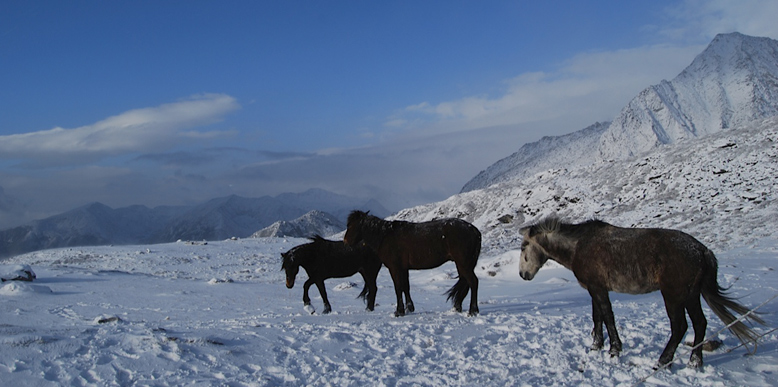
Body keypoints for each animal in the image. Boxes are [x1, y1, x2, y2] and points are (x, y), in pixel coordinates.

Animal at [344, 212, 482, 318]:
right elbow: (406, 287)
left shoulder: (395, 268)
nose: (345, 242)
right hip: (463, 265)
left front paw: (399, 311)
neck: (385, 236)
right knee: (465, 282)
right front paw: (409, 308)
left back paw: (473, 310)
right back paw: (458, 307)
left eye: (351, 226)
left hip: (463, 264)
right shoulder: (403, 269)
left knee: (473, 282)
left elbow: (398, 288)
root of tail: (474, 230)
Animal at [516, 218, 764, 370]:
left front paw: (614, 349)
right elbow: (597, 317)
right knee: (700, 324)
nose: (522, 274)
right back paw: (695, 361)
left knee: (680, 327)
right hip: (691, 295)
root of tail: (702, 250)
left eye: (523, 247)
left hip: (673, 295)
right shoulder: (595, 288)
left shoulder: (598, 289)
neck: (579, 246)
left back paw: (663, 361)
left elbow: (608, 317)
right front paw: (596, 346)